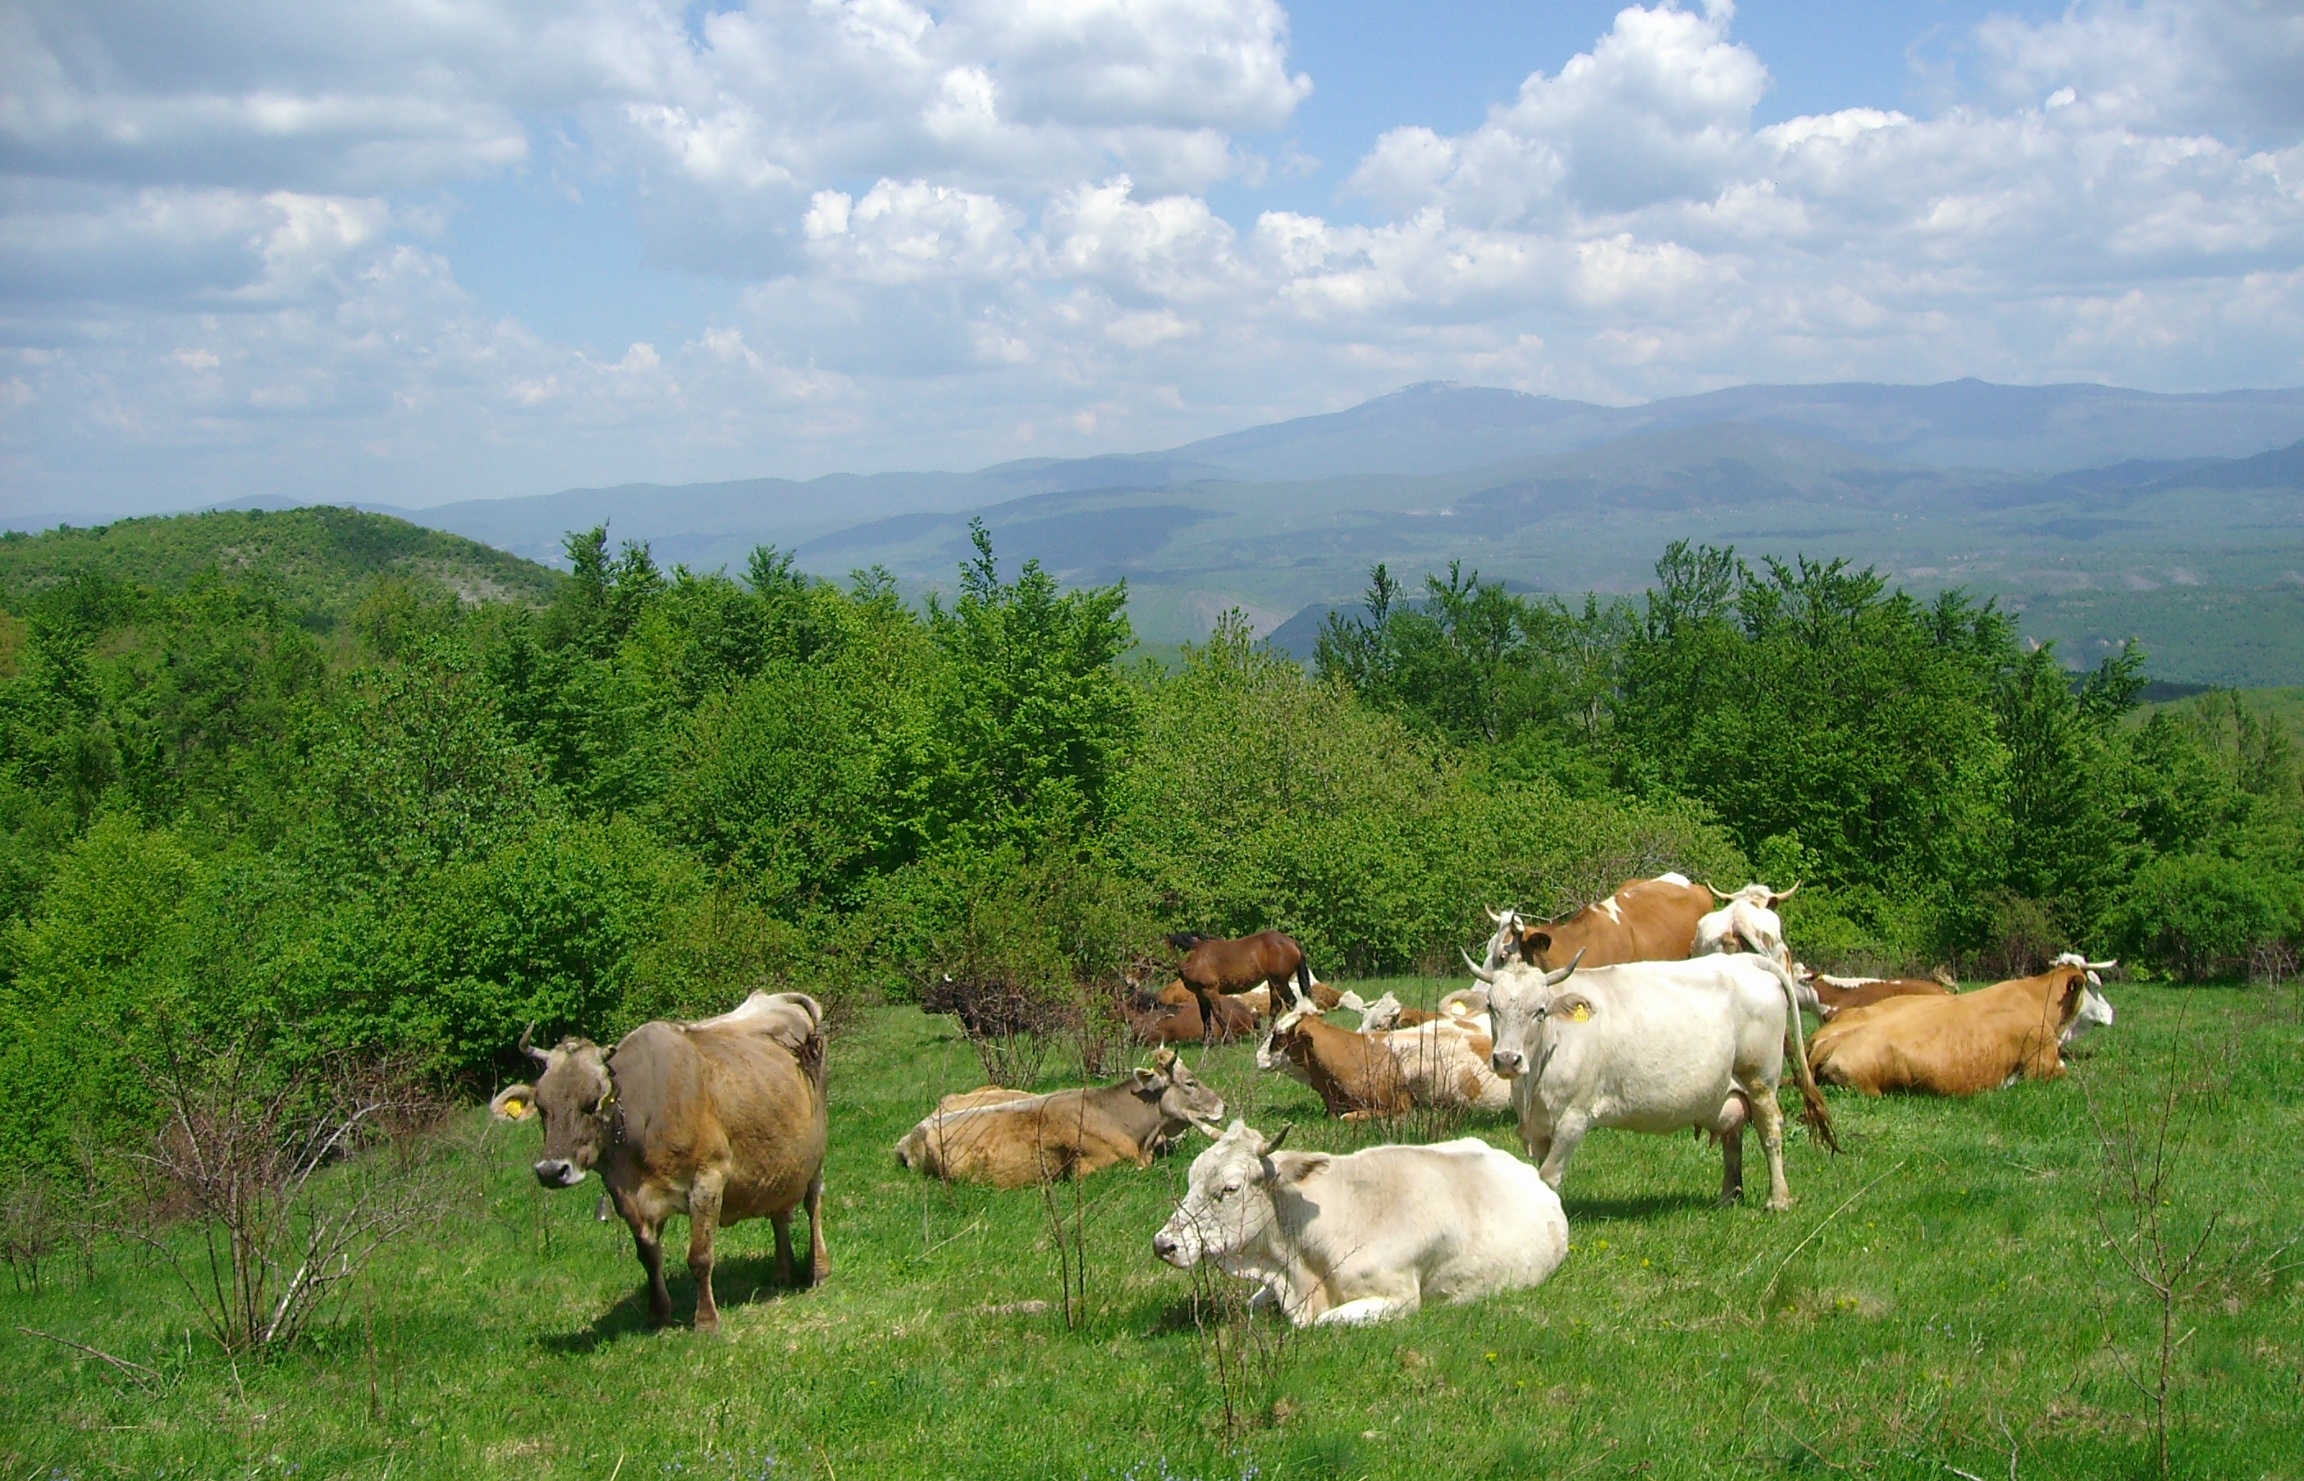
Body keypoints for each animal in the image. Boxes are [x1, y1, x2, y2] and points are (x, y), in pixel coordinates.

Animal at [489, 998, 829, 1331]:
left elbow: (700, 1256)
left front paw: (706, 1321)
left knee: (813, 1205)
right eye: (542, 1107)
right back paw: (783, 1273)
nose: (551, 1171)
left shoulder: (708, 1179)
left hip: (816, 1154)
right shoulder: (624, 1194)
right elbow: (648, 1255)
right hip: (780, 1159)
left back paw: (818, 1270)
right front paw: (658, 1314)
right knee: (779, 1213)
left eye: (592, 1102)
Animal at [1151, 1120, 1570, 1327]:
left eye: (1230, 1188)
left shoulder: (1399, 1299)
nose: (1163, 1244)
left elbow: (1322, 1323)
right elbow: (1254, 1307)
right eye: (1191, 1177)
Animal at [1473, 952, 1837, 1210]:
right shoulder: (1539, 1125)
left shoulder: (1575, 1117)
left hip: (1760, 1080)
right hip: (1728, 1089)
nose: (1507, 1059)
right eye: (1491, 1007)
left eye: (1540, 1010)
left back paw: (1778, 1200)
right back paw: (1728, 1197)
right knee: (1733, 1137)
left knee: (1770, 1132)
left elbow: (1549, 1175)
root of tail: (1745, 959)